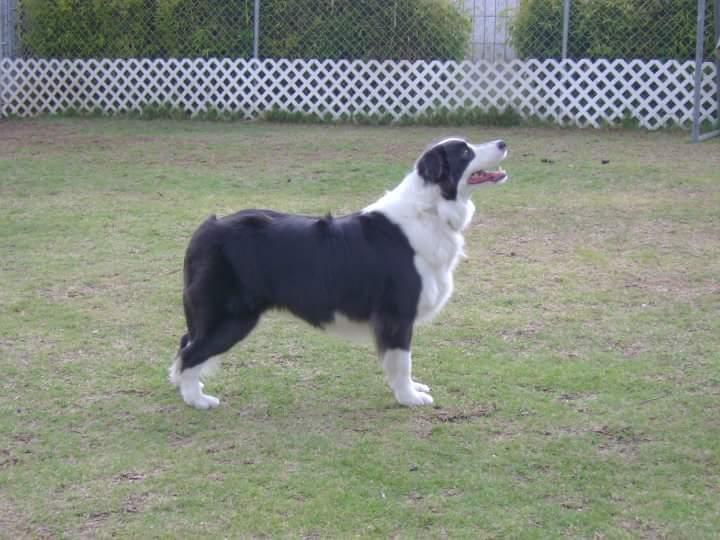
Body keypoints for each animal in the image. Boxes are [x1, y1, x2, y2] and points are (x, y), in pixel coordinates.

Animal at [170, 138, 506, 410]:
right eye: (465, 151)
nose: (502, 143)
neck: (433, 209)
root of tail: (207, 228)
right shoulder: (397, 314)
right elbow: (402, 361)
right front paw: (409, 397)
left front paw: (411, 390)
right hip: (232, 317)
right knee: (191, 352)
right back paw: (197, 399)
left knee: (186, 342)